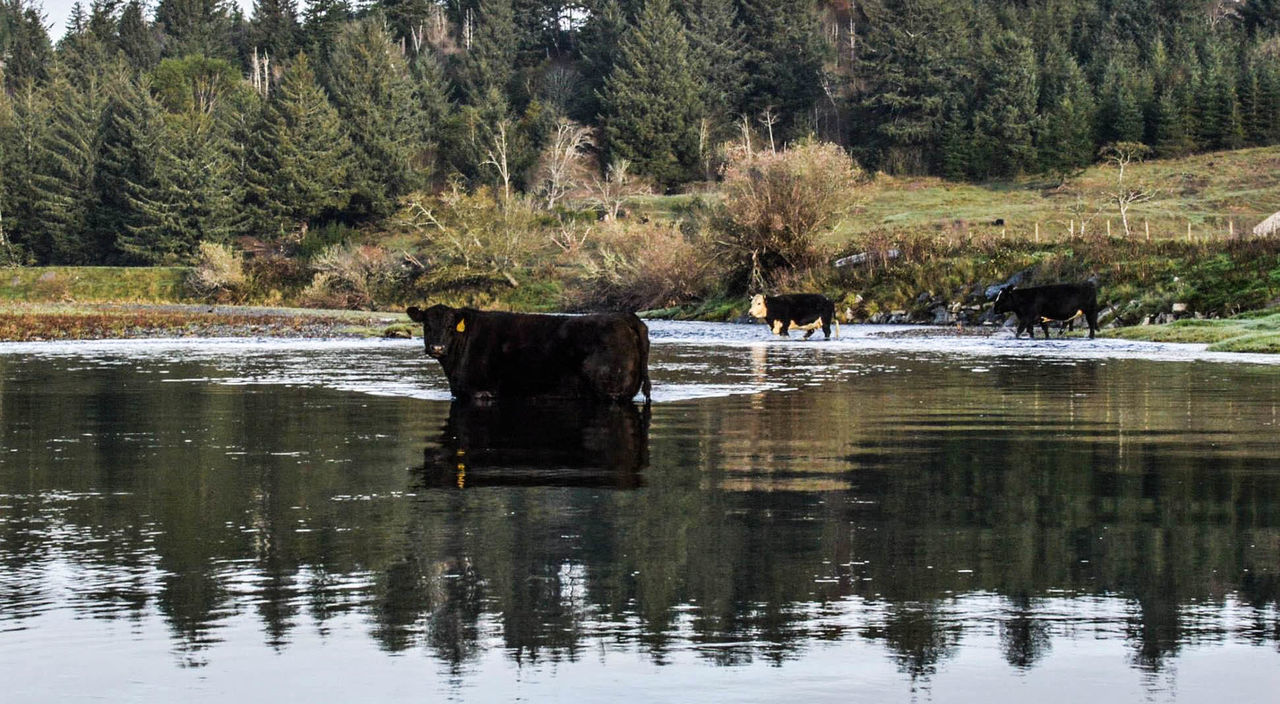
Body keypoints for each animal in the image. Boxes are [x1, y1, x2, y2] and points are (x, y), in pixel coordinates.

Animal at [407, 305, 655, 404]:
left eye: (451, 326)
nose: (437, 347)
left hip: (612, 390)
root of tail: (625, 316)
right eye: (426, 325)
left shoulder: (480, 392)